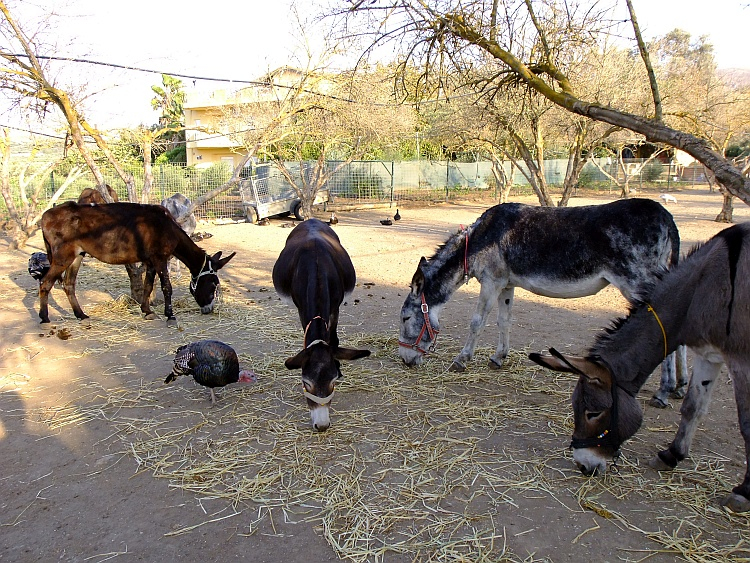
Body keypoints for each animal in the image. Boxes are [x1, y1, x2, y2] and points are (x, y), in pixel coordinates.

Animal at [274, 219, 372, 432]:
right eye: (305, 383)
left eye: (333, 382)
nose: (322, 426)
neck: (316, 265)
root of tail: (311, 220)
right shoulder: (302, 309)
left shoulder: (335, 307)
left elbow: (333, 338)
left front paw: (339, 366)